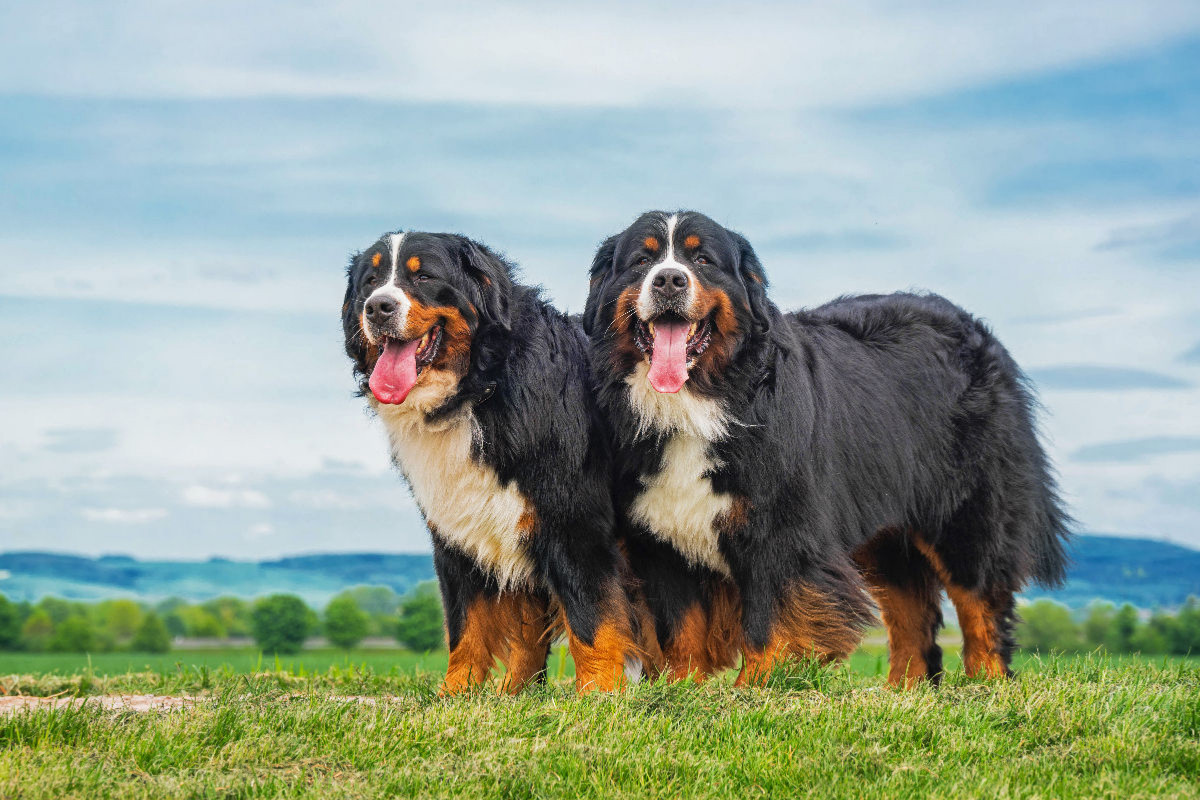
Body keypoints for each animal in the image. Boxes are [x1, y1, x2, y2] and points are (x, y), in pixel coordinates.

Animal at [343, 231, 652, 695]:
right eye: (371, 280)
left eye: (424, 276)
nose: (378, 307)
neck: (479, 389)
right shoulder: (463, 528)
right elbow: (468, 625)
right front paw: (464, 692)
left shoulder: (572, 521)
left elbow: (591, 618)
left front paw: (599, 692)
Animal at [580, 211, 1070, 690]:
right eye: (641, 262)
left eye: (702, 260)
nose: (669, 280)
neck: (696, 403)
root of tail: (973, 326)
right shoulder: (661, 534)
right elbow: (680, 627)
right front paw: (682, 687)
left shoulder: (780, 527)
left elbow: (769, 616)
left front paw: (755, 687)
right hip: (886, 525)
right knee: (912, 613)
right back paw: (903, 691)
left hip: (967, 514)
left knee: (980, 600)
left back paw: (988, 682)